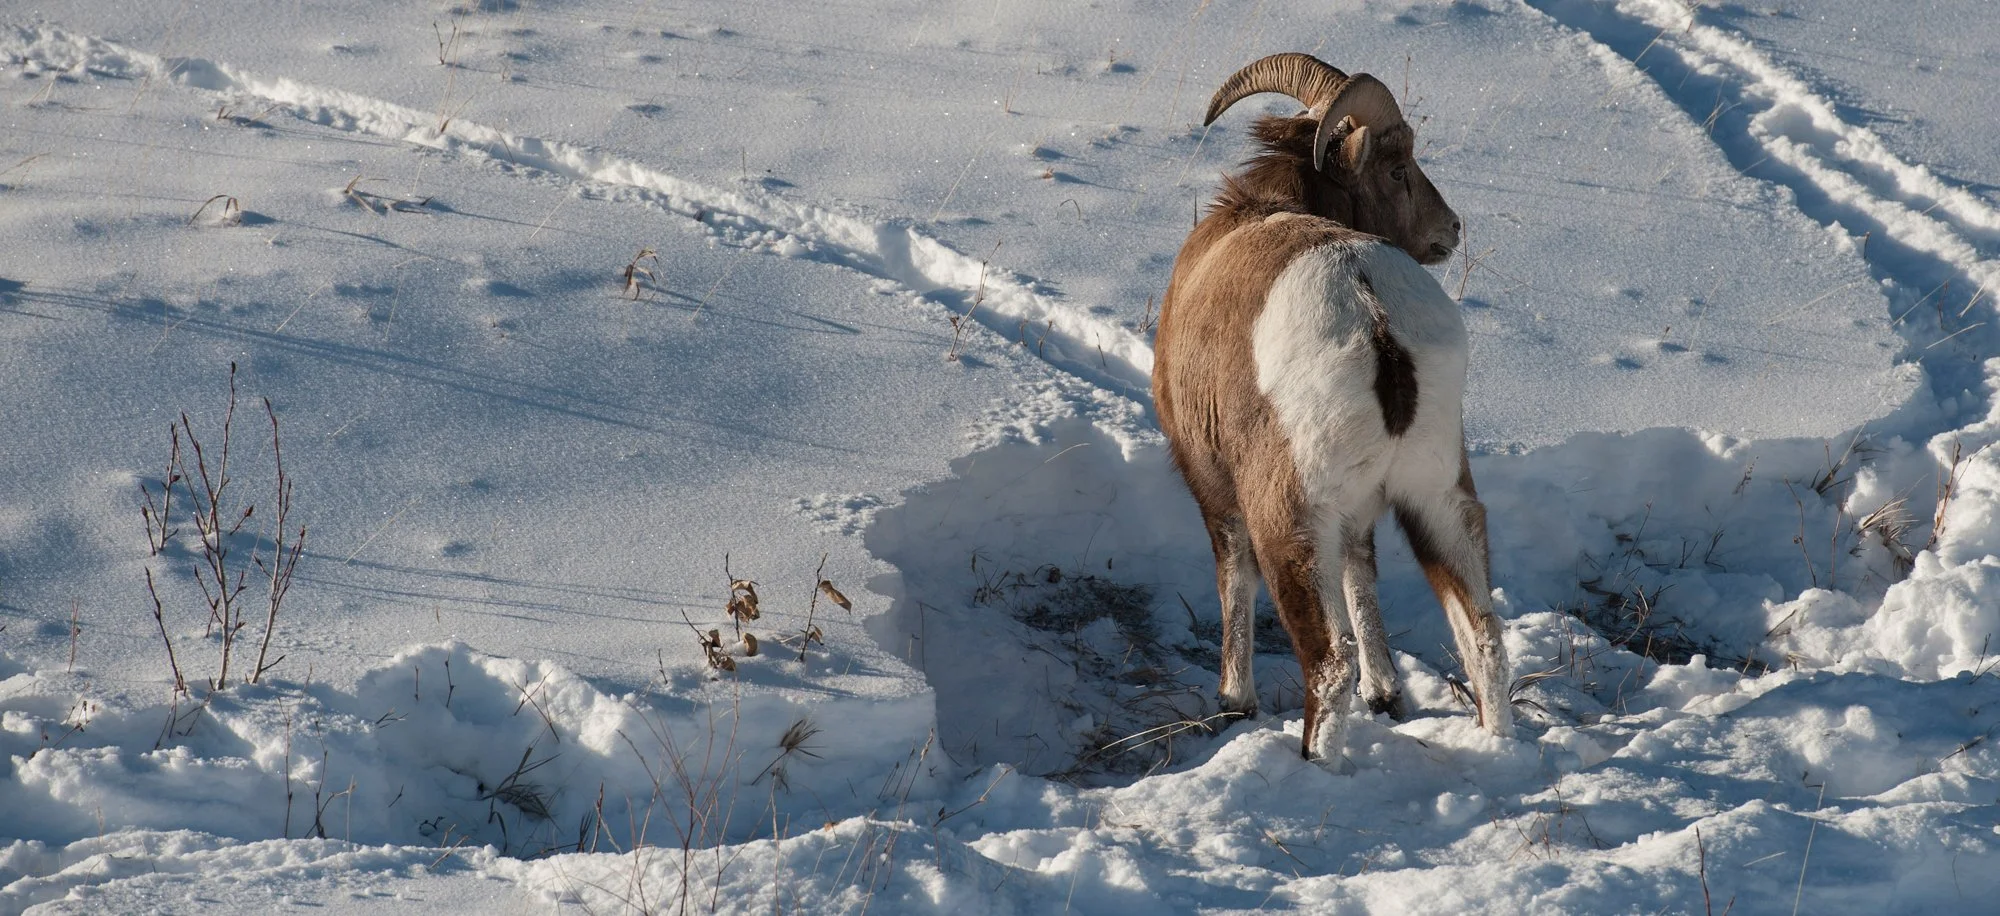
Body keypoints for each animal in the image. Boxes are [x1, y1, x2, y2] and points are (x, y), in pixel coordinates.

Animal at [1152, 53, 1512, 761]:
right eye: (1398, 170)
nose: (1450, 229)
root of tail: (1377, 323)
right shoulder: (1362, 512)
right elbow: (1362, 575)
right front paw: (1388, 696)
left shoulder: (1215, 488)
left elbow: (1234, 577)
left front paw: (1234, 702)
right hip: (1439, 498)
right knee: (1482, 635)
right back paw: (1502, 752)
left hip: (1290, 519)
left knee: (1329, 662)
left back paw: (1316, 763)